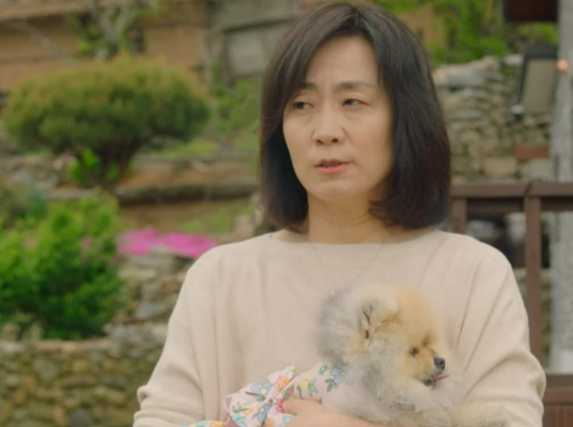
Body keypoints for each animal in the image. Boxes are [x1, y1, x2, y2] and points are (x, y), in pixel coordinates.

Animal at [315, 283, 508, 427]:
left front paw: (490, 416)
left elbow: (450, 411)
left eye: (429, 343)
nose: (441, 361)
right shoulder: (369, 411)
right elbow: (419, 417)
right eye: (413, 351)